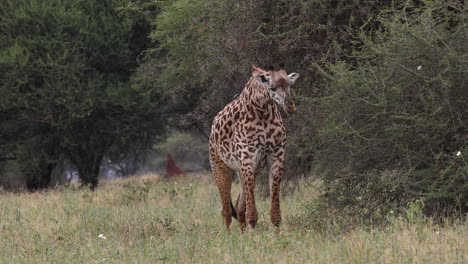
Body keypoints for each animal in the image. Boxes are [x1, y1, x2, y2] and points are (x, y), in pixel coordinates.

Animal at [209, 63, 300, 231]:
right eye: (272, 87)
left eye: (290, 85)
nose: (290, 106)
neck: (262, 110)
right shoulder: (248, 157)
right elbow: (251, 215)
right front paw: (253, 235)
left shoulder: (276, 156)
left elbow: (275, 214)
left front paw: (276, 236)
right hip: (220, 165)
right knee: (226, 210)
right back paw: (228, 235)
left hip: (244, 170)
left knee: (239, 208)